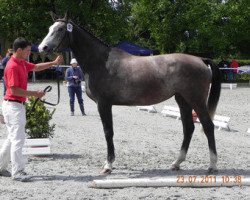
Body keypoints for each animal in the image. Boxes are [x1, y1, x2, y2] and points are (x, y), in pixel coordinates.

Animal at [38, 15, 221, 173]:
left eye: (60, 29)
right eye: (49, 28)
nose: (42, 48)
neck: (100, 62)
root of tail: (201, 59)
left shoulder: (104, 104)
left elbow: (108, 132)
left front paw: (108, 165)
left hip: (196, 100)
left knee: (208, 126)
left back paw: (212, 165)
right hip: (182, 100)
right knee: (188, 128)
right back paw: (176, 163)